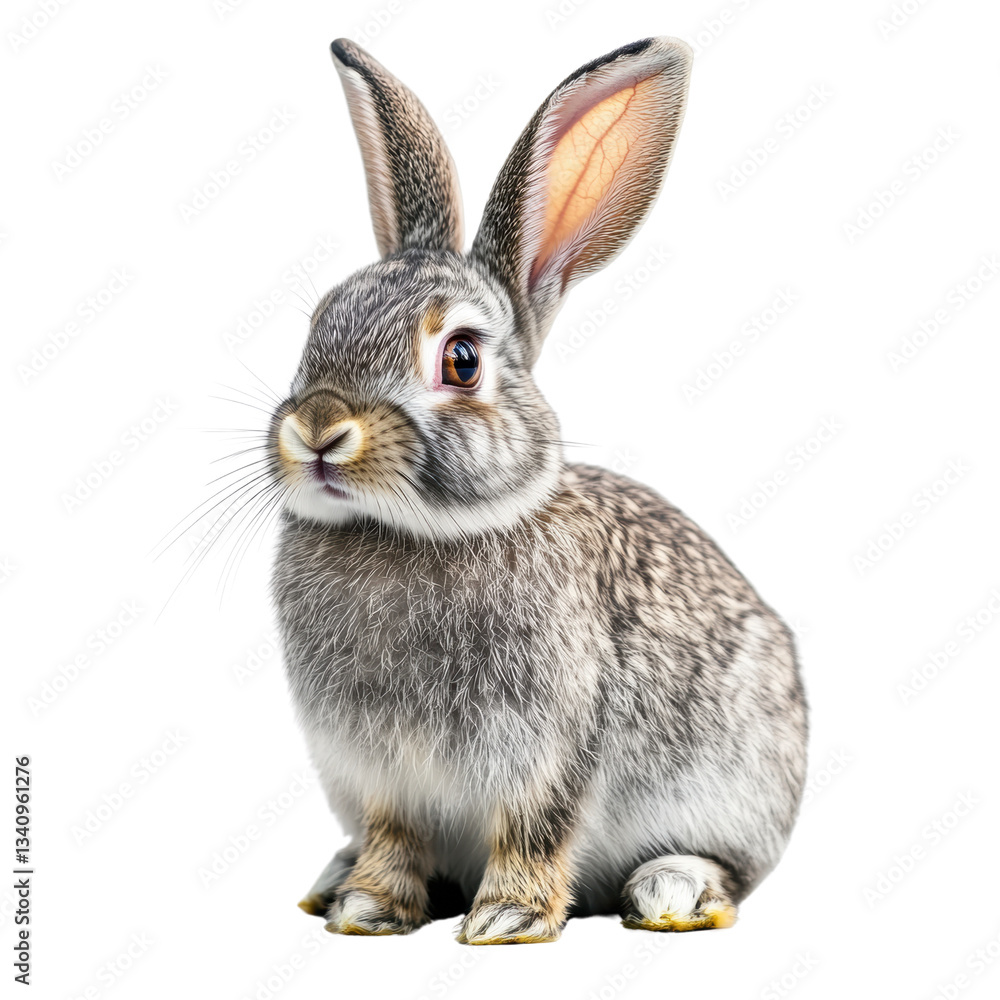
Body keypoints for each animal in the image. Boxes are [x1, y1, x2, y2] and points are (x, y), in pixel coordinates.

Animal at [269, 35, 807, 945]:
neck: (412, 532)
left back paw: (672, 891)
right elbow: (391, 836)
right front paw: (368, 909)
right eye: (317, 329)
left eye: (460, 359)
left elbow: (536, 828)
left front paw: (506, 921)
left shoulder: (552, 752)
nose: (317, 429)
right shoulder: (377, 775)